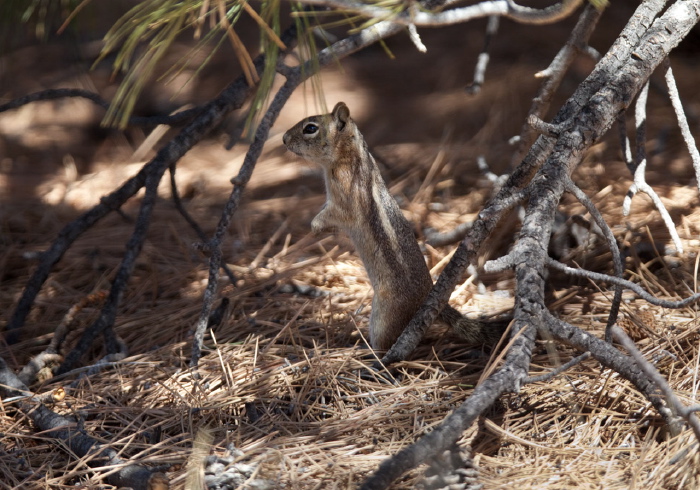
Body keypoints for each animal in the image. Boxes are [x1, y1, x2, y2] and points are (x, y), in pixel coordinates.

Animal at [282, 102, 506, 348]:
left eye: (310, 128)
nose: (283, 139)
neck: (348, 155)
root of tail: (427, 299)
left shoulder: (344, 200)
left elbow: (332, 214)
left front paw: (316, 226)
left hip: (384, 317)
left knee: (385, 342)